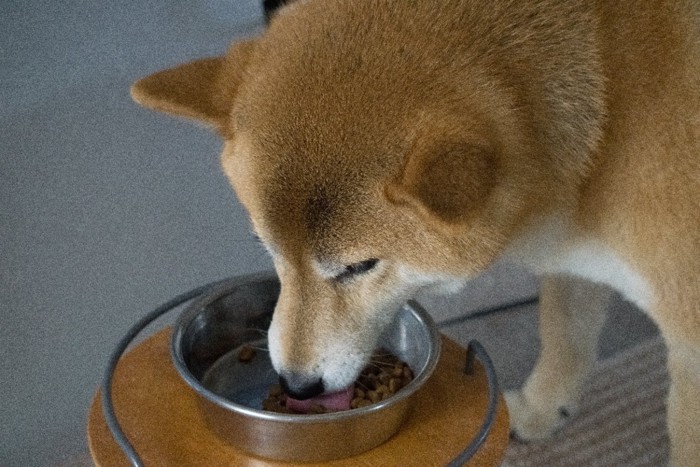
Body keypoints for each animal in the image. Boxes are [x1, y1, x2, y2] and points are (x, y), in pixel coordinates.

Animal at [133, 0, 700, 464]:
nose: (297, 384)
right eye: (268, 250)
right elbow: (565, 337)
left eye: (360, 266)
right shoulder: (575, 256)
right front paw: (543, 411)